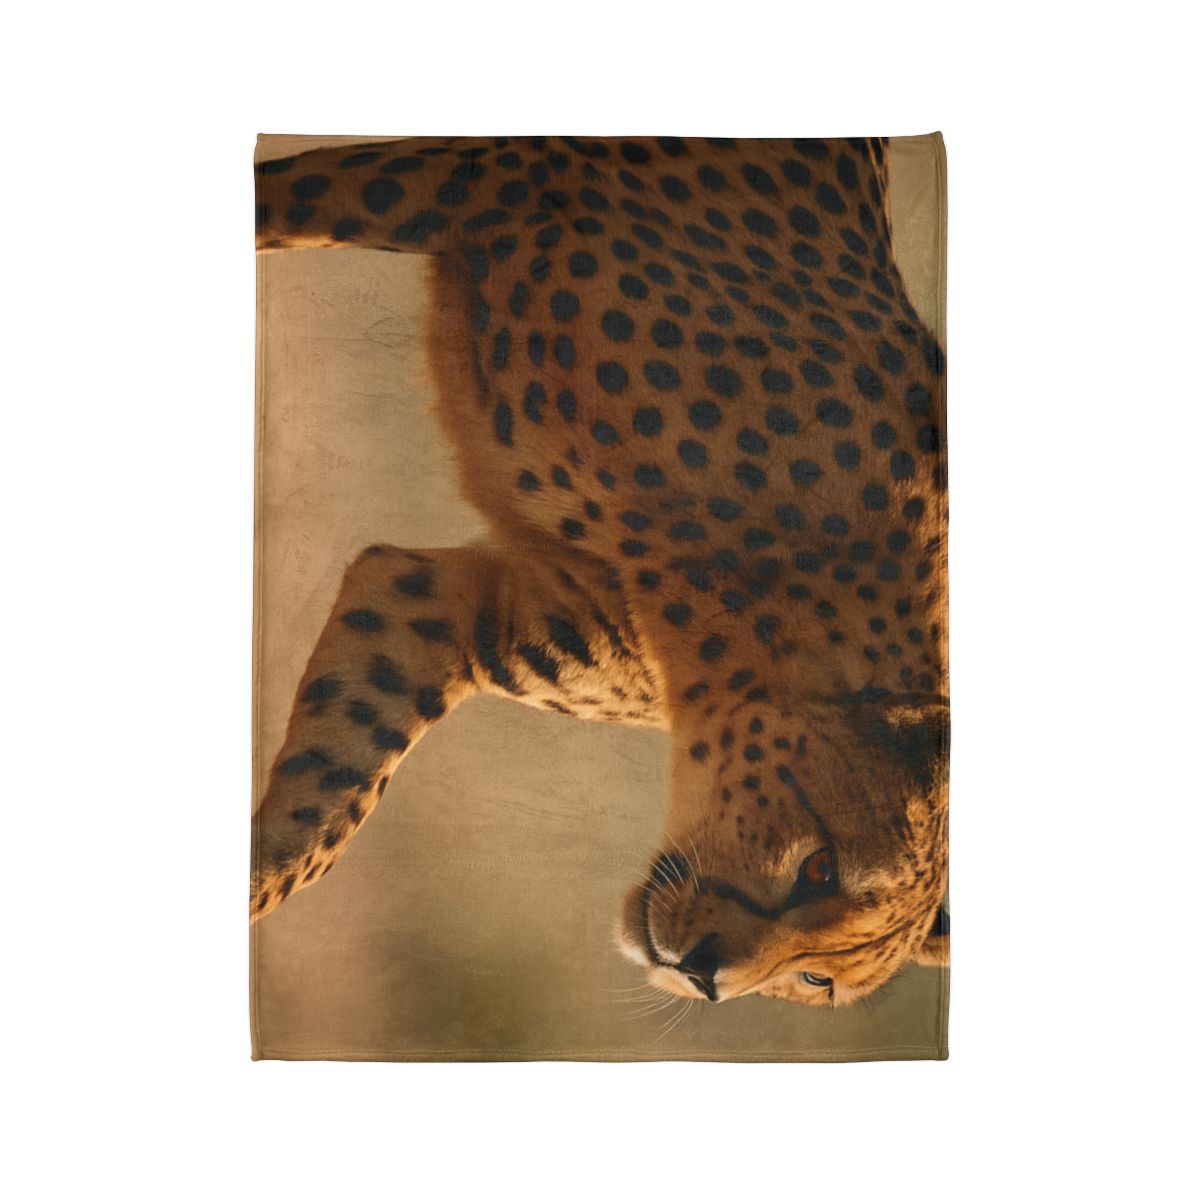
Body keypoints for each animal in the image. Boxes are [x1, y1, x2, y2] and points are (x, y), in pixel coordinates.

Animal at [252, 135, 949, 1008]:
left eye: (817, 976)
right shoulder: (495, 172)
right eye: (820, 867)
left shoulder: (452, 611)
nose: (703, 975)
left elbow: (328, 799)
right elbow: (283, 199)